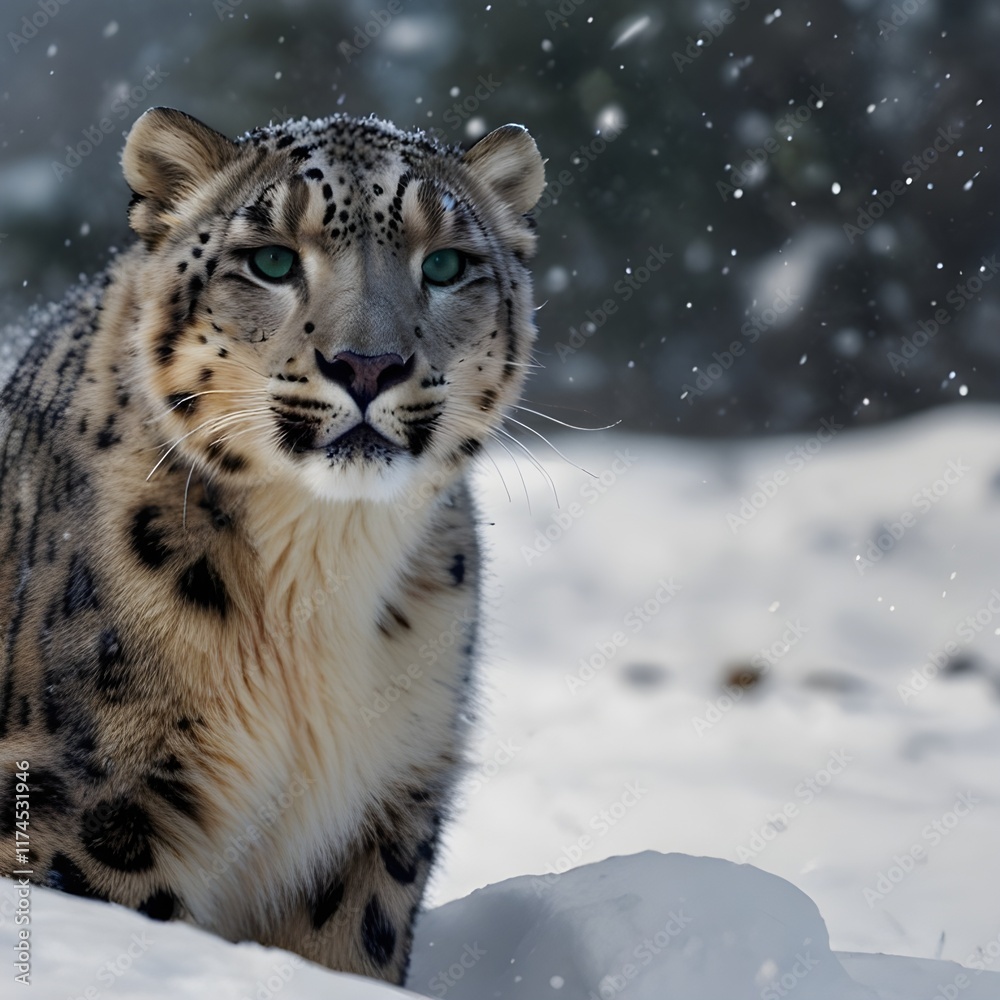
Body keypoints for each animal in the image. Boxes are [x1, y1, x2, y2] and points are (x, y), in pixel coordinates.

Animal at [0, 106, 544, 984]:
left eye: (446, 263)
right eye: (272, 259)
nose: (369, 364)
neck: (320, 566)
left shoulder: (386, 801)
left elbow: (351, 949)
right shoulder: (91, 790)